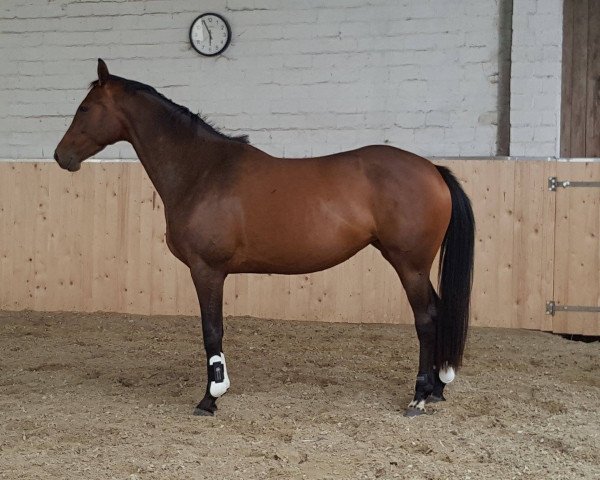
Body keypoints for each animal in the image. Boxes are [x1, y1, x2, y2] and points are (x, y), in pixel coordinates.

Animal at [55, 60, 474, 418]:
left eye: (85, 108)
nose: (62, 157)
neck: (203, 171)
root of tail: (432, 170)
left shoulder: (207, 270)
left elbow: (212, 331)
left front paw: (211, 397)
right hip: (412, 264)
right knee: (438, 313)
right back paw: (438, 388)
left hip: (409, 264)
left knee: (426, 317)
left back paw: (419, 396)